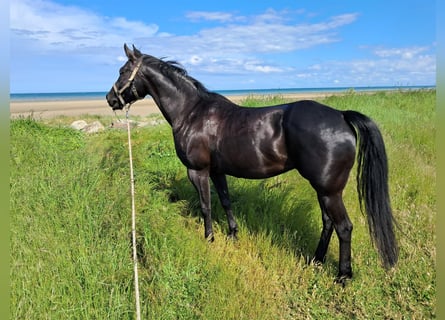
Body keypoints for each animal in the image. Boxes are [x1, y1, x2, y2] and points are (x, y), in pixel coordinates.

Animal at [106, 45, 398, 282]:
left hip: (329, 190)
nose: (110, 99)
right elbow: (225, 201)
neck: (192, 112)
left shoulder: (198, 171)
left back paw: (343, 275)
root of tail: (340, 115)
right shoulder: (217, 171)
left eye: (123, 71)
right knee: (328, 223)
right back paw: (315, 260)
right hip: (323, 189)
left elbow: (205, 205)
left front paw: (209, 238)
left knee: (344, 227)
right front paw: (233, 235)